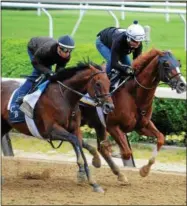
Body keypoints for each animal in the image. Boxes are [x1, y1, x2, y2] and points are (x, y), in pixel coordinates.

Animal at [1, 60, 114, 192]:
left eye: (109, 83)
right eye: (98, 83)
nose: (109, 106)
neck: (65, 98)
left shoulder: (75, 129)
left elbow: (79, 144)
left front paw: (93, 177)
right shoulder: (51, 130)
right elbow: (75, 142)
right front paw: (87, 174)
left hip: (5, 125)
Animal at [78, 49, 186, 183]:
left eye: (179, 64)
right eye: (166, 64)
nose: (182, 85)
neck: (133, 95)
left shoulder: (142, 126)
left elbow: (160, 138)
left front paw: (144, 170)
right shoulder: (112, 126)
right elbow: (126, 152)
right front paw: (110, 148)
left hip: (95, 124)